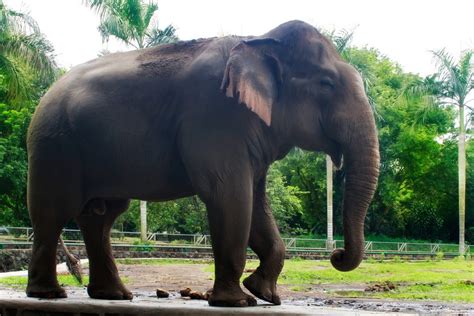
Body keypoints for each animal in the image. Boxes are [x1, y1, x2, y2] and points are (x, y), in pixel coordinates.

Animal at [25, 19, 380, 306]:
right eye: (326, 84)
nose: (336, 254)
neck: (258, 40)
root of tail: (45, 94)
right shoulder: (216, 115)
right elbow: (230, 196)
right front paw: (238, 302)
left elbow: (255, 202)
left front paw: (265, 294)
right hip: (54, 147)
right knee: (52, 213)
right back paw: (50, 293)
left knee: (101, 218)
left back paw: (114, 295)